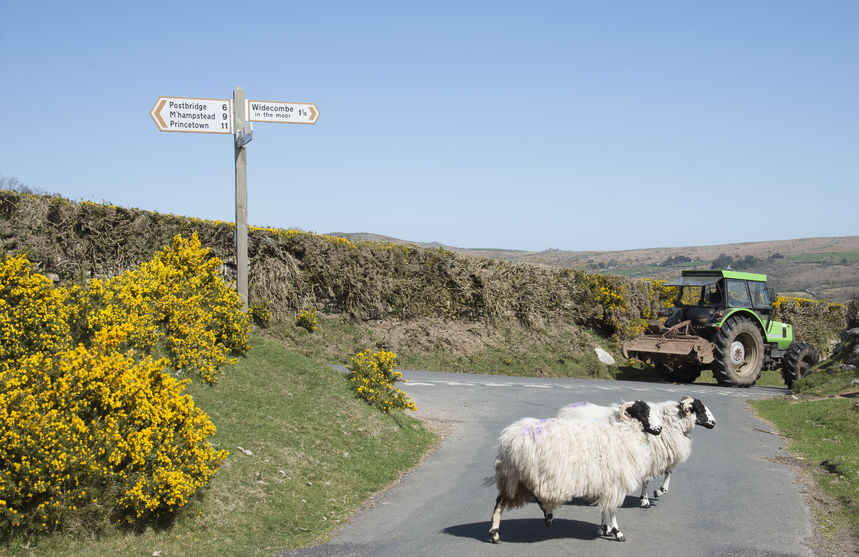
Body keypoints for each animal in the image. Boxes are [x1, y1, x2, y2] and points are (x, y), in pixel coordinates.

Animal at [490, 400, 664, 544]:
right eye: (642, 413)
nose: (660, 429)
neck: (624, 433)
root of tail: (510, 440)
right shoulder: (615, 483)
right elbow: (612, 509)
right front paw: (617, 533)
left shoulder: (606, 483)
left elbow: (605, 508)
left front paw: (605, 528)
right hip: (524, 477)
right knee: (530, 498)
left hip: (513, 478)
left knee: (501, 502)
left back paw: (496, 534)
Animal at [556, 396, 716, 508]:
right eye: (700, 409)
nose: (714, 423)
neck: (671, 421)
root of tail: (564, 410)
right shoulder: (649, 457)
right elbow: (647, 480)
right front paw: (646, 500)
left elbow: (668, 472)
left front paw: (659, 491)